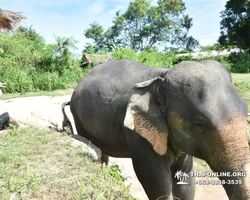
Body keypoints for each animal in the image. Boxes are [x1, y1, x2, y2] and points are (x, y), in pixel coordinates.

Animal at [62, 59, 250, 200]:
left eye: (246, 112)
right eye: (200, 125)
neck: (162, 79)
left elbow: (187, 182)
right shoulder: (138, 132)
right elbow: (156, 182)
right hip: (78, 116)